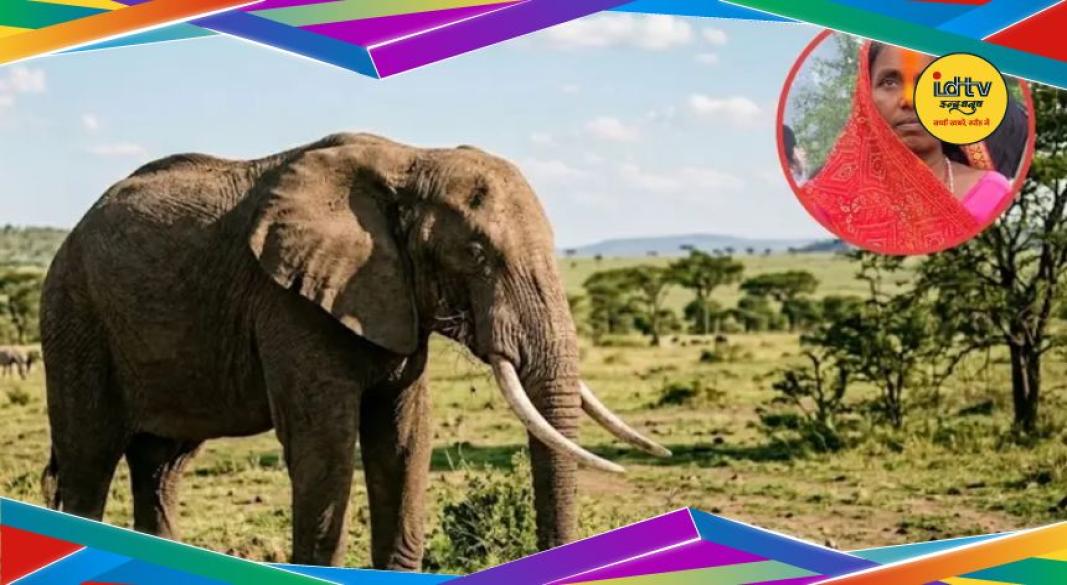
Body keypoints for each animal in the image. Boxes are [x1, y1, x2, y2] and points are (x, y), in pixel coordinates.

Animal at [40, 132, 670, 568]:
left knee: (161, 465)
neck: (412, 159)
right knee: (89, 460)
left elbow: (405, 438)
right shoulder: (289, 301)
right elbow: (325, 443)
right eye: (475, 252)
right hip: (75, 315)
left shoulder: (396, 300)